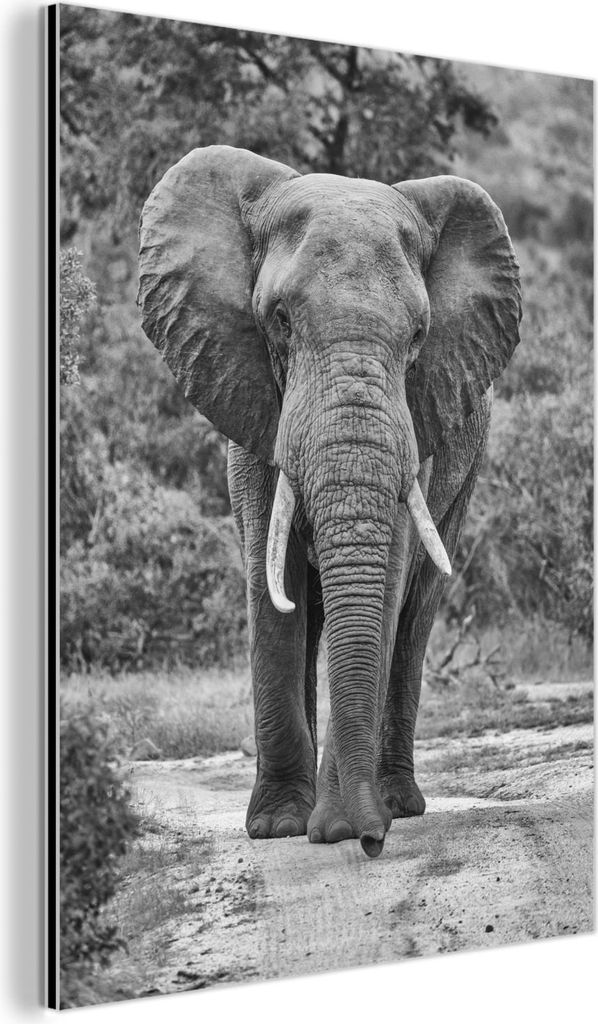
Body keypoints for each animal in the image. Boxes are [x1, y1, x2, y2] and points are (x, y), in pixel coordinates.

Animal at [138, 145, 521, 858]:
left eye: (421, 334)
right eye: (280, 321)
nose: (369, 844)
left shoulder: (420, 418)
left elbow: (388, 581)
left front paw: (342, 824)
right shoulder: (250, 395)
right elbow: (271, 585)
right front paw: (278, 827)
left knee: (416, 614)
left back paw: (397, 801)